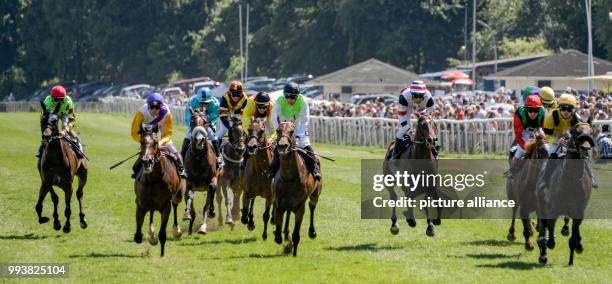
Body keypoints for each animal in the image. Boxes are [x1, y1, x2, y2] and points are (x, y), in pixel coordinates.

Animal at [134, 125, 182, 256]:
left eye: (155, 143)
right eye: (142, 142)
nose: (147, 161)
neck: (154, 180)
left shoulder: (165, 207)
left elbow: (162, 234)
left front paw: (162, 254)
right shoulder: (141, 204)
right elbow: (138, 235)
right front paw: (150, 236)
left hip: (177, 195)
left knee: (175, 204)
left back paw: (176, 230)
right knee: (151, 211)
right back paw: (151, 234)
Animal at [272, 121, 322, 256]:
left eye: (292, 131)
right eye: (278, 130)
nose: (282, 146)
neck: (289, 177)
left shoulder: (300, 206)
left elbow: (296, 234)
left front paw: (293, 251)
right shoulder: (279, 203)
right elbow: (278, 230)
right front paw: (283, 240)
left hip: (315, 194)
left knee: (312, 206)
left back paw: (312, 232)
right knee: (288, 214)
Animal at [536, 119, 596, 264]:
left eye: (591, 132)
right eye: (576, 132)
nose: (586, 149)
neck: (572, 180)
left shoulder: (579, 210)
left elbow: (574, 236)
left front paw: (573, 255)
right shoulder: (552, 208)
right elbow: (550, 234)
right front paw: (548, 244)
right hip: (541, 204)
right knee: (543, 228)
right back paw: (543, 253)